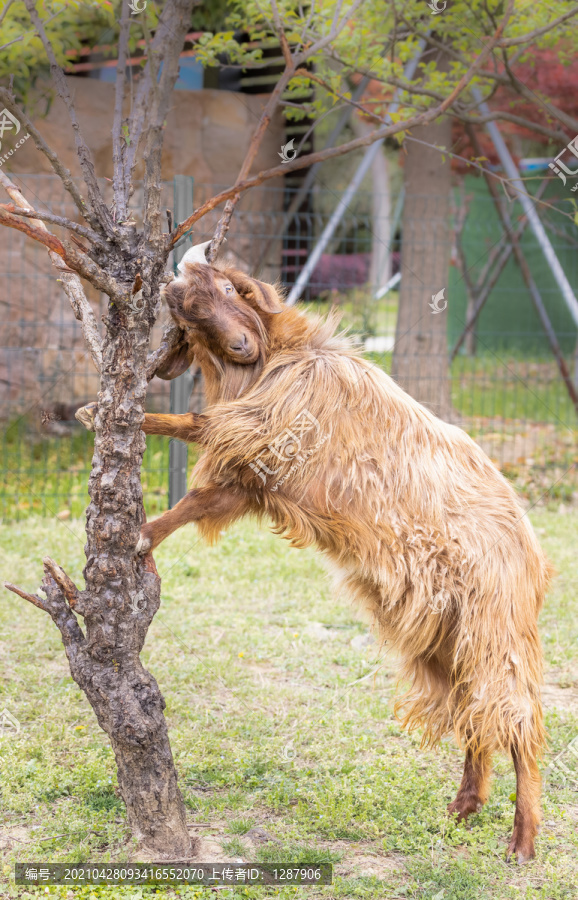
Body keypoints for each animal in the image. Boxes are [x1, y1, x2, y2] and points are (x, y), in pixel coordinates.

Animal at [77, 256, 552, 860]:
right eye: (183, 312)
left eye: (229, 288)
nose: (240, 345)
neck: (284, 358)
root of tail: (532, 552)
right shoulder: (252, 475)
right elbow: (195, 499)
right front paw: (140, 529)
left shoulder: (269, 430)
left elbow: (198, 426)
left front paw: (107, 423)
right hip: (447, 636)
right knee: (477, 711)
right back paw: (464, 807)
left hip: (495, 627)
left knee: (518, 716)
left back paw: (523, 838)